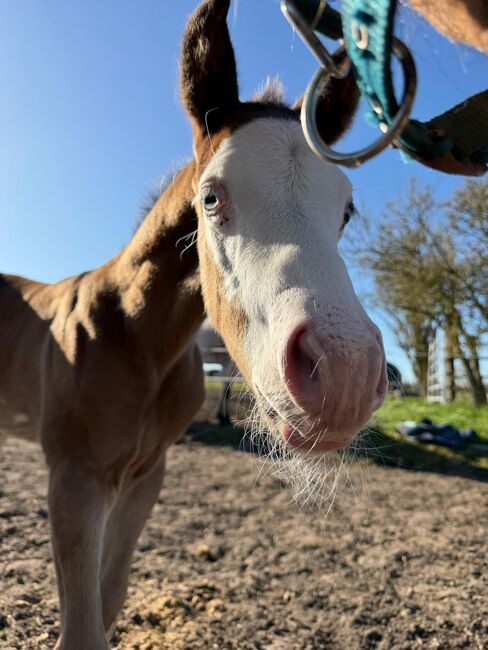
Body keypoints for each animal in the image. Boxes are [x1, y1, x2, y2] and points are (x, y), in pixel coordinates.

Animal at [0, 1, 387, 647]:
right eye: (210, 197)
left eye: (346, 210)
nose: (345, 375)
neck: (136, 340)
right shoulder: (75, 477)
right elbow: (82, 627)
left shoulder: (145, 475)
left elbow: (109, 600)